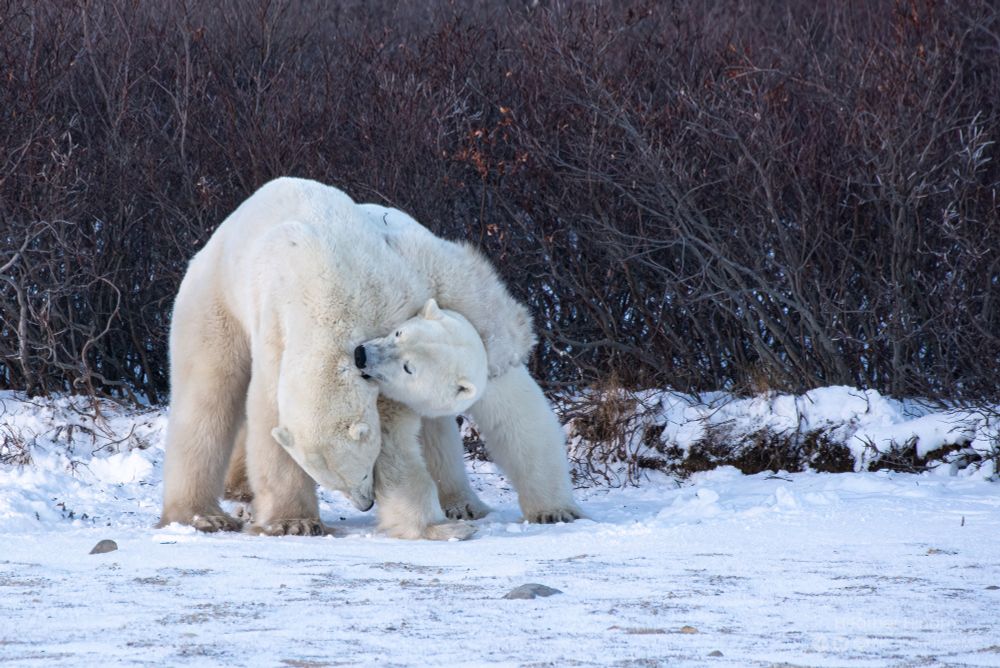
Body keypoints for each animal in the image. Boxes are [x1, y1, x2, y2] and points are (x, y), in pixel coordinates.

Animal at [160, 177, 583, 539]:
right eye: (335, 482)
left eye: (364, 472)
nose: (364, 504)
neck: (329, 298)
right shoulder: (278, 328)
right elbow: (269, 420)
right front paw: (294, 522)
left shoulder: (398, 299)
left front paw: (551, 511)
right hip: (214, 303)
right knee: (207, 394)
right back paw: (205, 514)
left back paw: (464, 503)